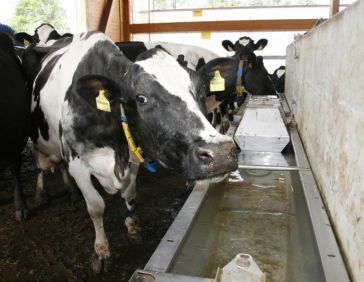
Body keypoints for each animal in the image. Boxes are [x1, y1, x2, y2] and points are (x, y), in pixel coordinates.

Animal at [23, 31, 239, 274]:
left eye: (202, 92)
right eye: (141, 98)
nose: (219, 152)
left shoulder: (133, 156)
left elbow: (130, 194)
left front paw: (132, 226)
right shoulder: (77, 162)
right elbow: (96, 206)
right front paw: (102, 251)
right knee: (42, 166)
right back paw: (41, 193)